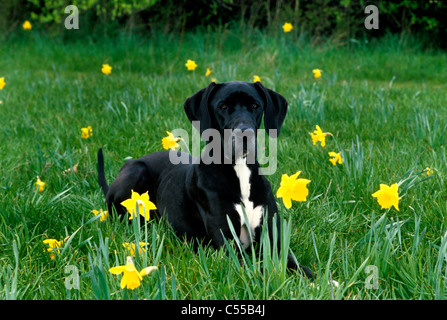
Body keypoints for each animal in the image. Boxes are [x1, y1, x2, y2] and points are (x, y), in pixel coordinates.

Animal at [98, 81, 314, 278]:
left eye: (255, 106)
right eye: (222, 106)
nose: (245, 134)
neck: (240, 170)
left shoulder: (272, 239)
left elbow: (295, 265)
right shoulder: (228, 243)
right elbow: (257, 269)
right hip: (137, 171)